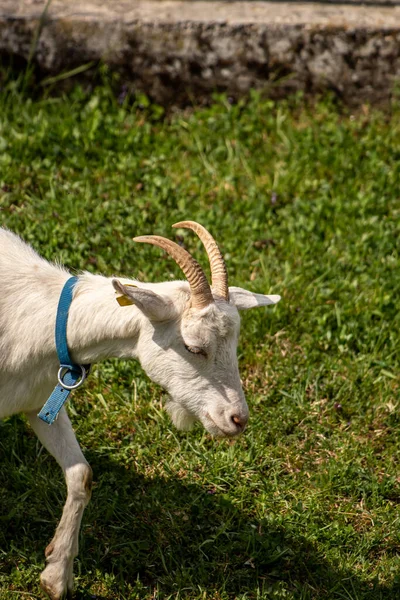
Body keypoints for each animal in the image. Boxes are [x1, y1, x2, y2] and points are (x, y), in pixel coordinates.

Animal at [0, 221, 280, 600]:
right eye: (193, 347)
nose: (238, 419)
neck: (37, 318)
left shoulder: (41, 403)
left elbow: (81, 474)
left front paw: (56, 574)